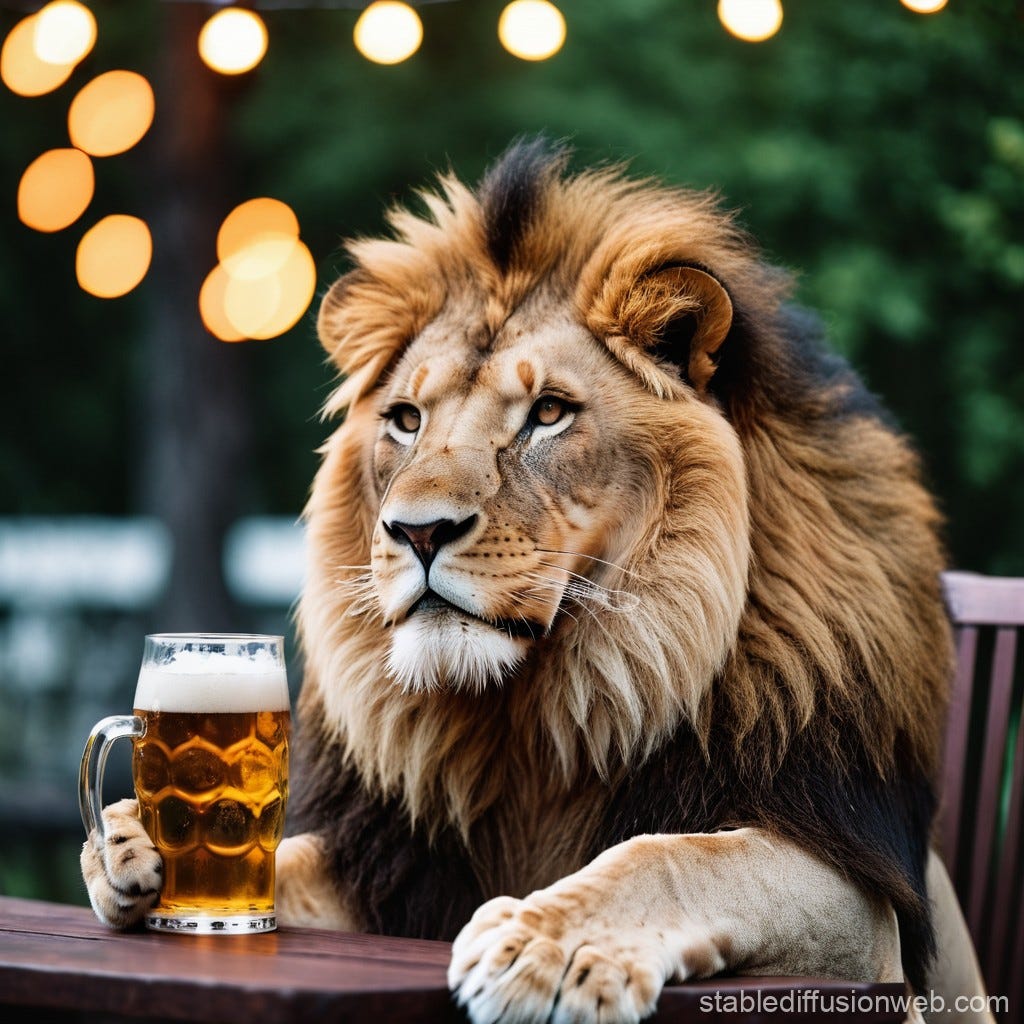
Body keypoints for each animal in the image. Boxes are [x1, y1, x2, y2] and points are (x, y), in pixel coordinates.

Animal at [83, 139, 992, 1024]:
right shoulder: (396, 871)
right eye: (405, 420)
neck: (534, 725)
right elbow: (284, 859)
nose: (418, 531)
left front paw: (543, 944)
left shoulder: (860, 898)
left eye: (548, 413)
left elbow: (674, 857)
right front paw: (127, 840)